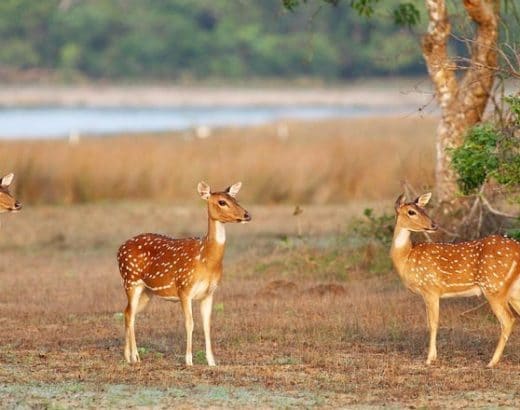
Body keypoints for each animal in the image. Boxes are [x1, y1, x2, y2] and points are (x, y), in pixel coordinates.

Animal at [117, 182, 251, 366]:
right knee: (130, 314)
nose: (247, 215)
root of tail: (119, 250)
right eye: (222, 202)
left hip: (147, 292)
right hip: (131, 280)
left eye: (235, 199)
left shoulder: (209, 293)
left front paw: (212, 362)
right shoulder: (184, 288)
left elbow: (207, 325)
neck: (205, 259)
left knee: (127, 313)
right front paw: (189, 360)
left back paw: (127, 356)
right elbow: (190, 323)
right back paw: (136, 357)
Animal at [392, 193, 520, 368]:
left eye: (423, 209)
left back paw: (491, 362)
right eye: (412, 211)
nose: (433, 225)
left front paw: (429, 359)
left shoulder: (430, 288)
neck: (407, 257)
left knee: (508, 320)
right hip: (512, 290)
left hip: (494, 286)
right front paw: (433, 357)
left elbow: (432, 323)